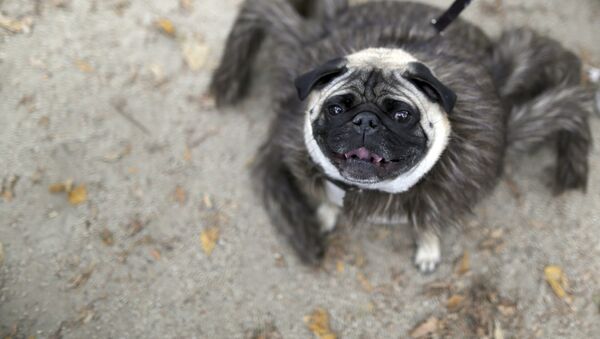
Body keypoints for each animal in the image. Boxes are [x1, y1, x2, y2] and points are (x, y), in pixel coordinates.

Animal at [209, 0, 592, 272]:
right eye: (337, 108)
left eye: (401, 114)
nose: (365, 120)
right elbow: (325, 197)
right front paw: (324, 215)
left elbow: (428, 224)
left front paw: (428, 251)